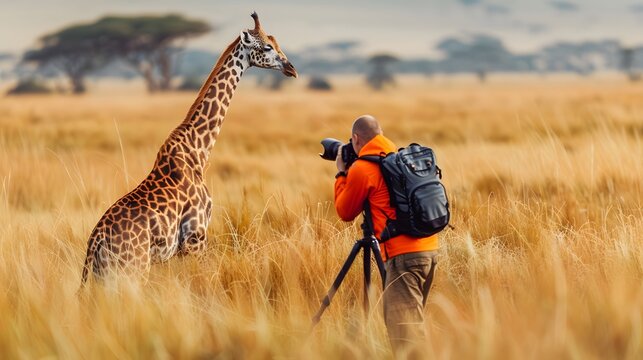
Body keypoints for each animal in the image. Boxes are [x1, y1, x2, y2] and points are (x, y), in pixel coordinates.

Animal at [79, 12, 298, 286]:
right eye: (267, 47)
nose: (291, 69)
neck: (198, 152)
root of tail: (95, 243)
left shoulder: (180, 249)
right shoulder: (196, 238)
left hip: (104, 276)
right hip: (132, 270)